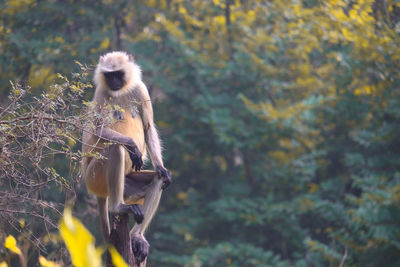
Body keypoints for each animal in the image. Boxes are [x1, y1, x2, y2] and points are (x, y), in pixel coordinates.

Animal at [83, 51, 172, 264]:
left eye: (118, 74)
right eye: (109, 75)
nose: (114, 82)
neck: (119, 92)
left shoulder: (141, 89)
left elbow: (148, 128)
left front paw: (162, 168)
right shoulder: (101, 92)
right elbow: (97, 131)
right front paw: (131, 145)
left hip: (127, 182)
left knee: (158, 178)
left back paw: (136, 236)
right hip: (94, 177)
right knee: (116, 149)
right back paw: (118, 208)